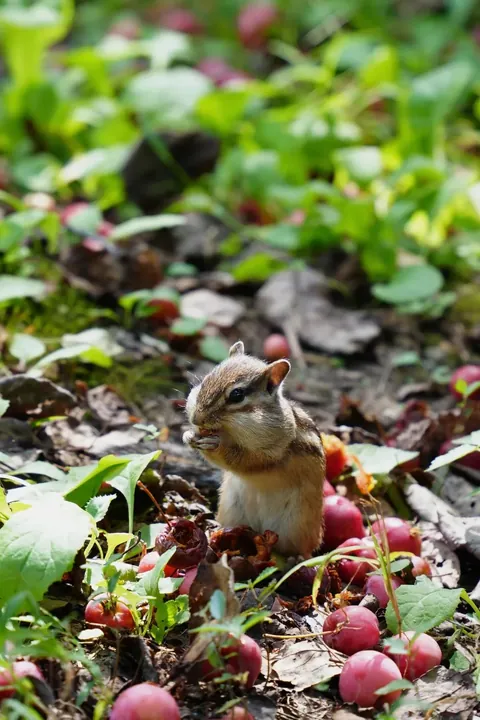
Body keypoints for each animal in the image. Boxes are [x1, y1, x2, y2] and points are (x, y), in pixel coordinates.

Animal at [182, 341, 325, 558]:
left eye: (237, 394)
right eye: (205, 380)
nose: (196, 419)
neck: (232, 430)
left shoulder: (273, 451)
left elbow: (250, 460)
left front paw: (217, 446)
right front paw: (188, 436)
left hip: (298, 525)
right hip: (231, 512)